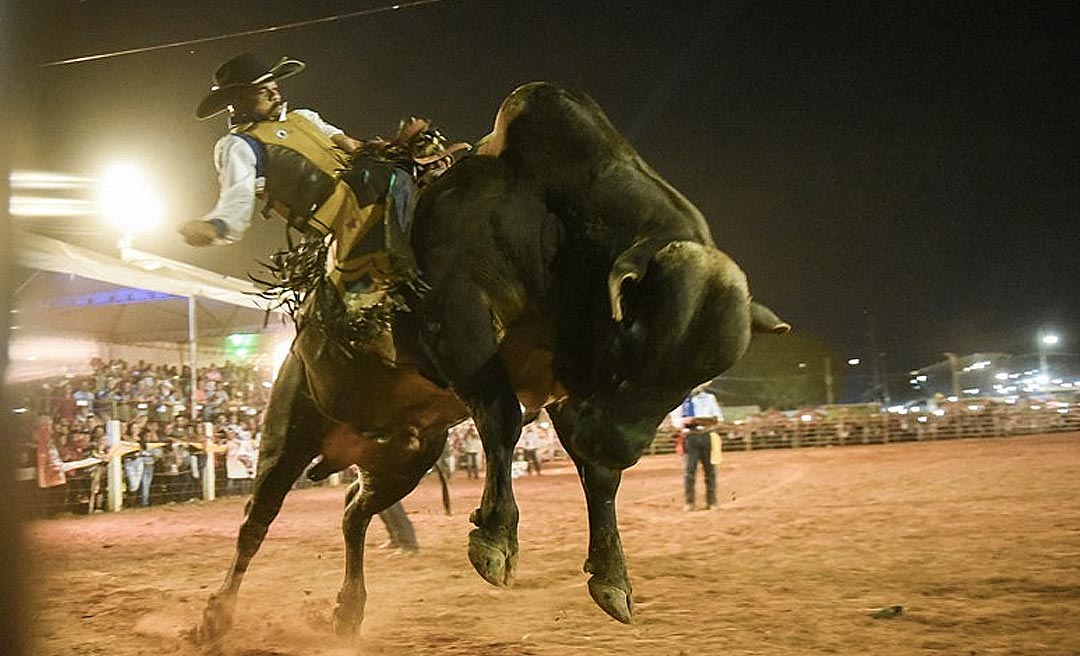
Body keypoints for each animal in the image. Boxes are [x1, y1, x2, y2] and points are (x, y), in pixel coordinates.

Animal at [196, 82, 786, 639]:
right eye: (629, 343)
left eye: (695, 380)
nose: (621, 446)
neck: (556, 220)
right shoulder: (461, 321)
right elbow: (503, 419)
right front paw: (495, 541)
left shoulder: (571, 392)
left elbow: (596, 476)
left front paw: (611, 579)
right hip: (289, 432)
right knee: (256, 522)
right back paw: (216, 618)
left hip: (407, 459)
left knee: (354, 513)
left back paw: (348, 610)